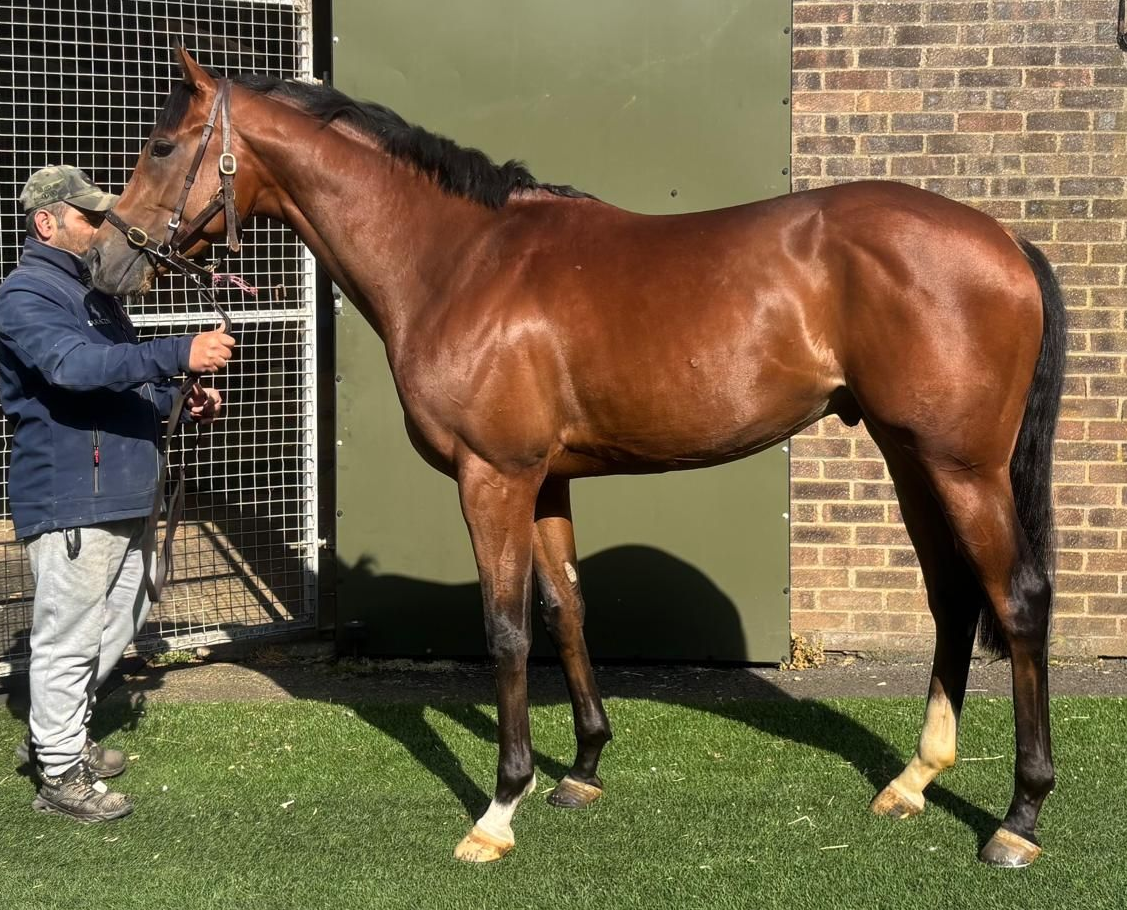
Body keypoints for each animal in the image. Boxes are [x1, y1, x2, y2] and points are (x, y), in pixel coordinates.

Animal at [89, 48, 1066, 868]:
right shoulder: (547, 479)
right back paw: (912, 781)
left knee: (1016, 601)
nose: (105, 264)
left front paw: (498, 809)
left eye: (161, 143)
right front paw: (583, 768)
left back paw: (1018, 819)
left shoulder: (493, 476)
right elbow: (565, 610)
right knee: (951, 597)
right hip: (910, 458)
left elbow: (507, 628)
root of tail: (1004, 241)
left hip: (963, 468)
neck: (457, 262)